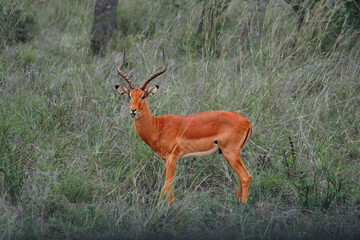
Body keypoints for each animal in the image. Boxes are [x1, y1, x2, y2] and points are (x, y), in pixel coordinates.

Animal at [114, 50, 252, 204]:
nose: (133, 110)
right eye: (130, 95)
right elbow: (171, 188)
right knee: (241, 177)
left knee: (245, 177)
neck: (159, 126)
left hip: (230, 153)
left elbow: (166, 187)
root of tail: (247, 122)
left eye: (143, 96)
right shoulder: (166, 160)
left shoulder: (172, 158)